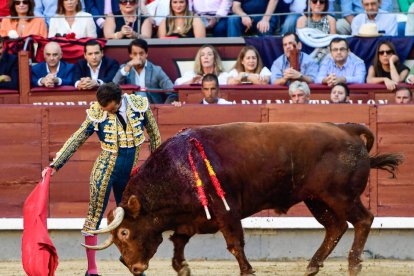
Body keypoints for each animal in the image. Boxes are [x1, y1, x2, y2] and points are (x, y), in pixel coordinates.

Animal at [82, 123, 402, 276]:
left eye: (125, 232)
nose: (133, 268)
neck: (177, 168)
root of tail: (348, 129)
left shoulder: (227, 212)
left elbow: (235, 244)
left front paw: (247, 270)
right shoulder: (192, 218)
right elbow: (178, 241)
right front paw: (182, 267)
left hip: (341, 196)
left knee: (363, 220)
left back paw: (354, 265)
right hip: (317, 200)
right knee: (336, 227)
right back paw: (313, 266)